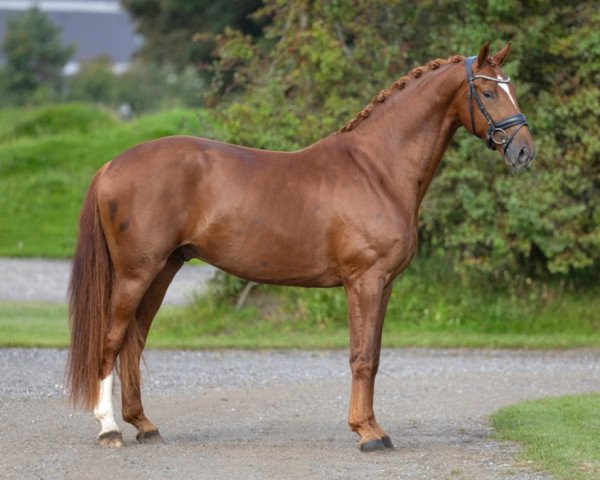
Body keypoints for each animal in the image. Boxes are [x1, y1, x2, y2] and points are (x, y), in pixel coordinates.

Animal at [67, 43, 536, 452]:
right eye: (489, 91)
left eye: (512, 87)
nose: (524, 151)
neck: (378, 169)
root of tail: (112, 165)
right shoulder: (364, 280)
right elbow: (361, 357)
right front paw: (367, 434)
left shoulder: (384, 284)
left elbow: (375, 356)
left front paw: (374, 428)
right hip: (136, 272)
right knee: (111, 340)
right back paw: (109, 429)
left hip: (163, 270)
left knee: (134, 341)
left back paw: (145, 426)